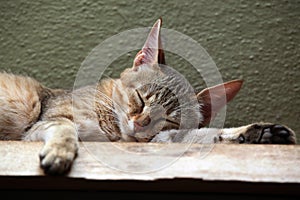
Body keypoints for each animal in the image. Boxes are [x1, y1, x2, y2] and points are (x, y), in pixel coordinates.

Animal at [0, 18, 296, 175]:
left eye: (169, 120)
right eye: (141, 99)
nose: (140, 123)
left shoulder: (158, 139)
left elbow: (204, 134)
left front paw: (260, 132)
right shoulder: (46, 121)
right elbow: (65, 128)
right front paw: (60, 151)